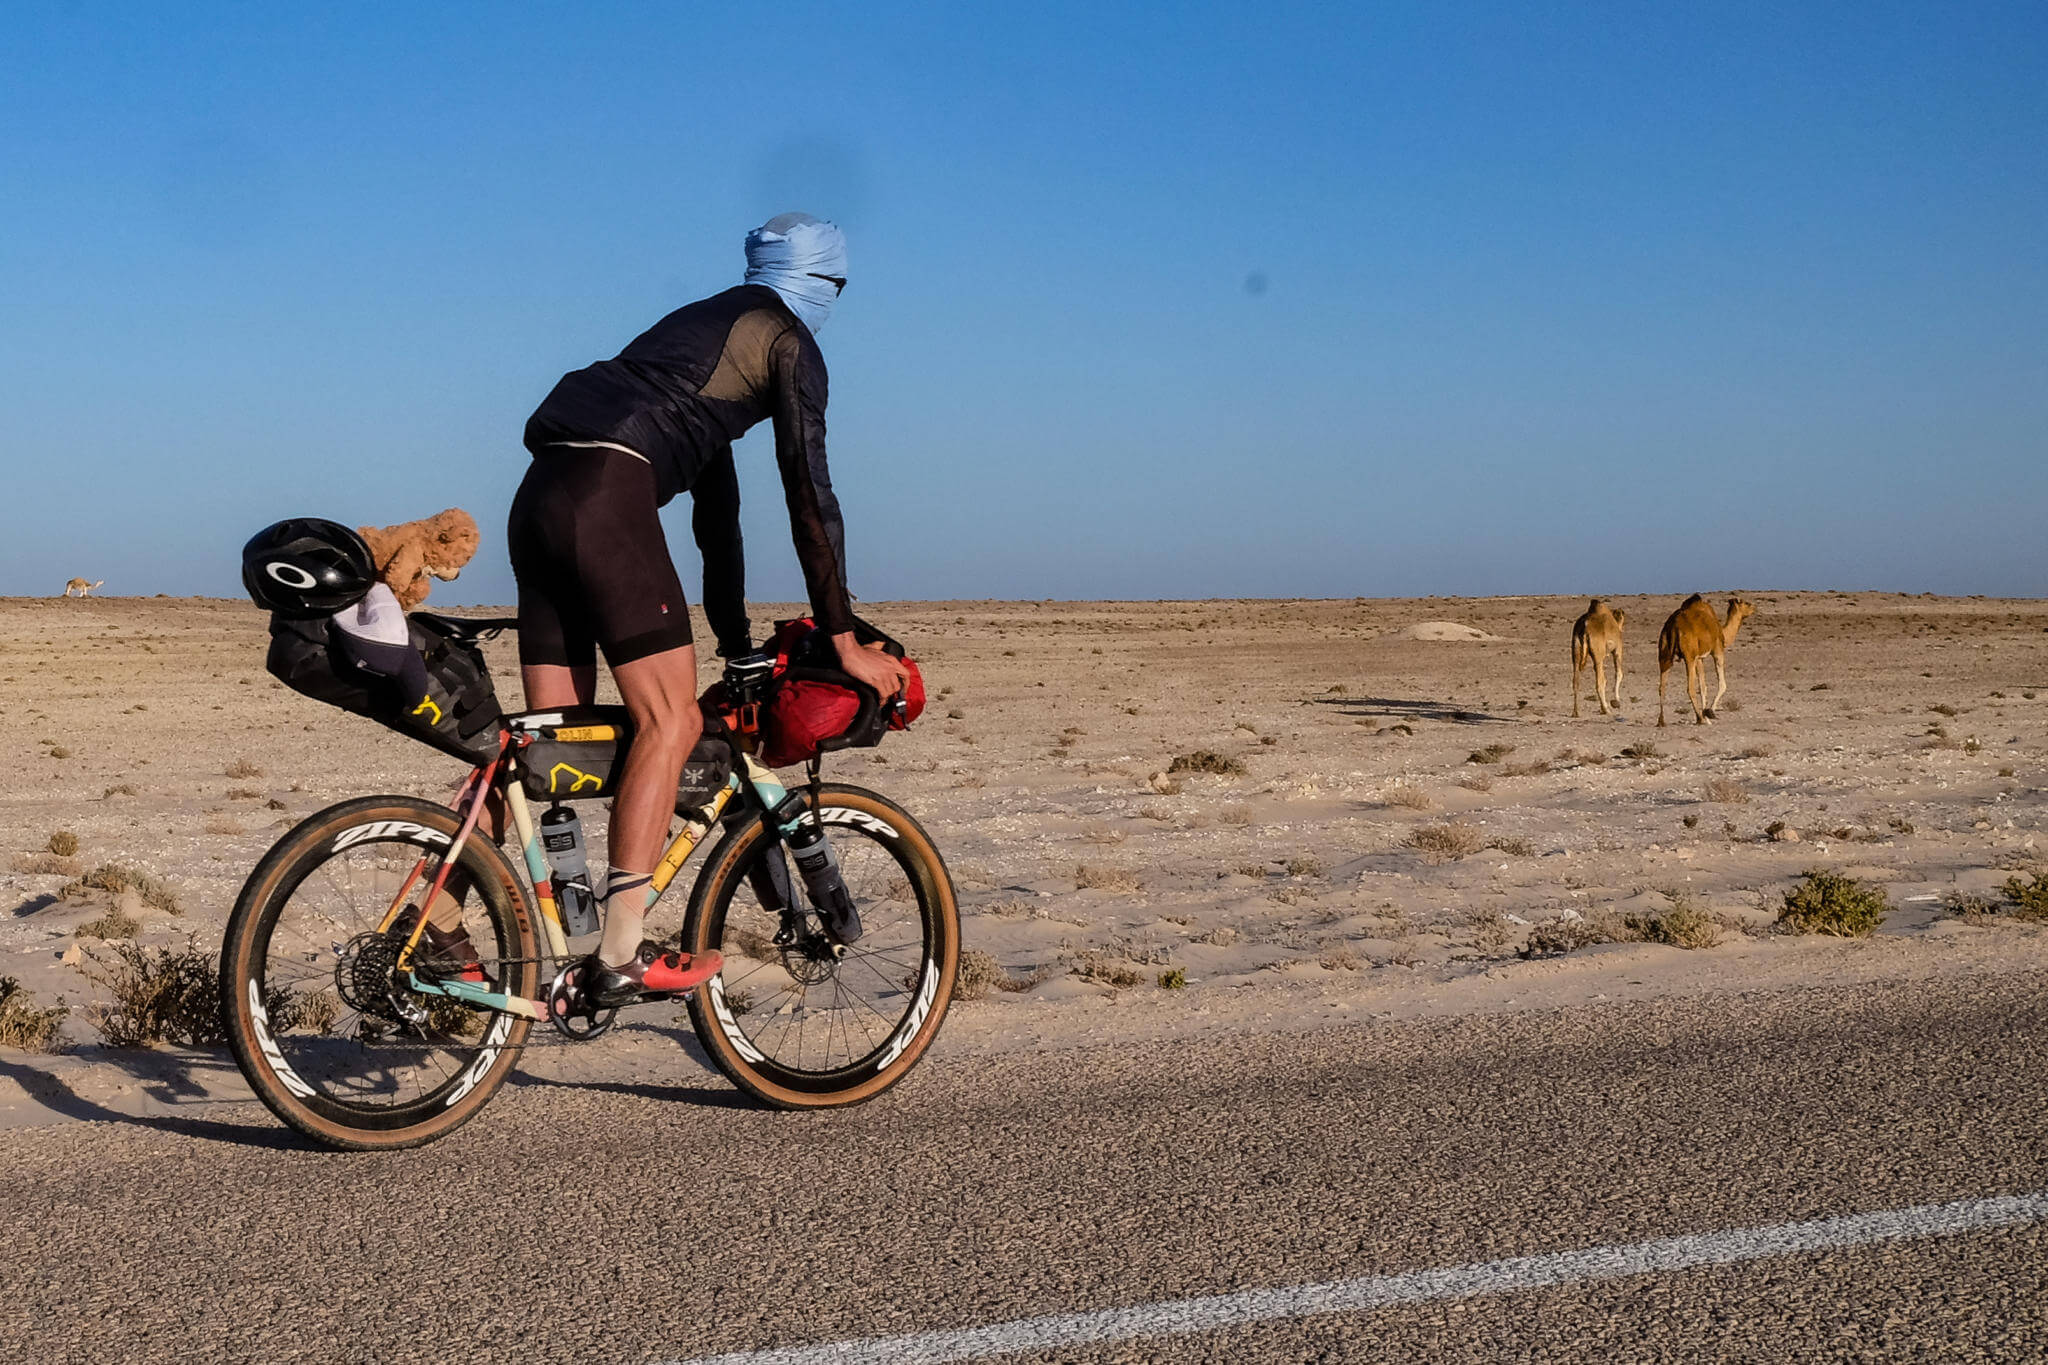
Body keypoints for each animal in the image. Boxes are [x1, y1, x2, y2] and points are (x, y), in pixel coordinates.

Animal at [1654, 593, 1753, 724]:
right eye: (1747, 603)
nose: (1755, 607)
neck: (1722, 631)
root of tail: (1673, 626)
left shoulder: (1699, 658)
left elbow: (1703, 686)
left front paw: (1705, 715)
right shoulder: (1717, 650)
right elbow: (1722, 684)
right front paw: (1709, 712)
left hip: (1664, 653)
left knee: (1662, 687)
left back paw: (1661, 721)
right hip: (1688, 657)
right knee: (1690, 687)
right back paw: (1700, 719)